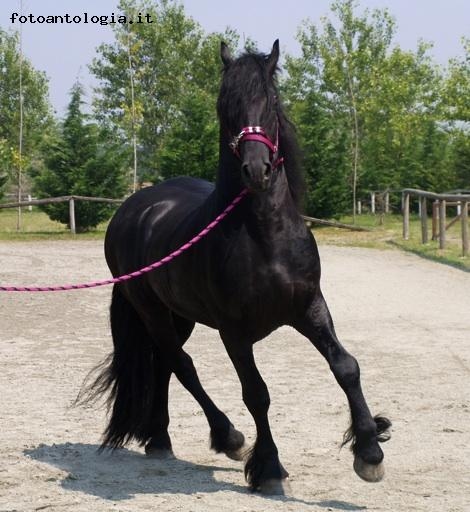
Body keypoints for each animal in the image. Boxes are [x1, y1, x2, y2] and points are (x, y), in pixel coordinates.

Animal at [90, 41, 392, 496]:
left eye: (271, 100)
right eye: (224, 105)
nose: (257, 170)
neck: (264, 236)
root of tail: (134, 207)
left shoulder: (310, 308)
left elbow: (346, 367)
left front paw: (370, 451)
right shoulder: (234, 332)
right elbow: (256, 393)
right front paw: (268, 467)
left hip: (180, 315)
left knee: (164, 363)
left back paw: (160, 439)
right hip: (152, 310)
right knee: (180, 363)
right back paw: (226, 437)